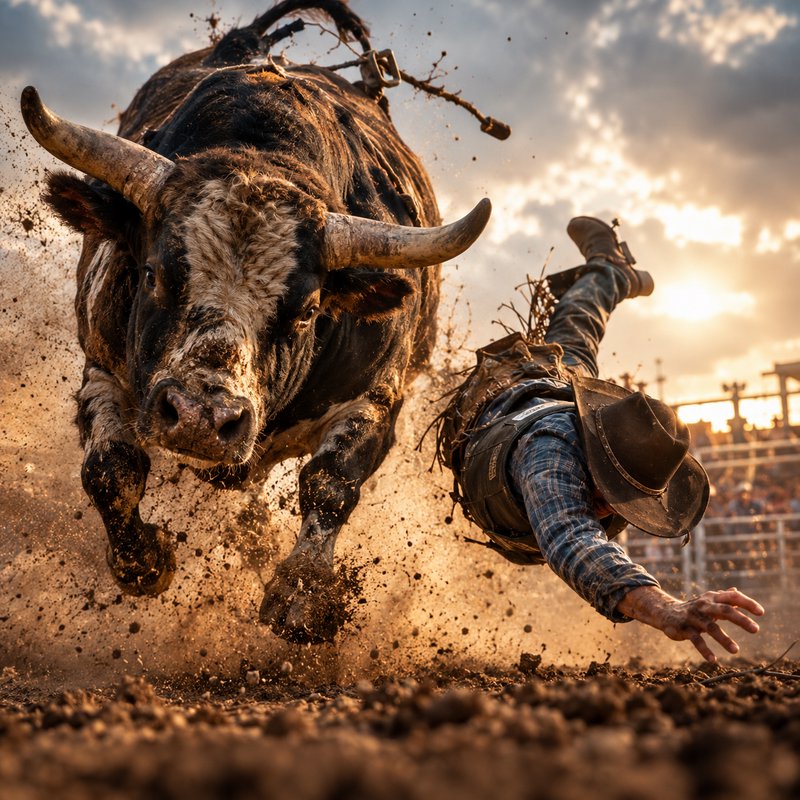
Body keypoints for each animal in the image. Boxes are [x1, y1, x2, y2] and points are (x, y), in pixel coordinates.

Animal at [20, 0, 490, 643]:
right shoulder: (101, 363)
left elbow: (329, 484)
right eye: (152, 273)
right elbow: (110, 467)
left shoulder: (377, 399)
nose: (201, 417)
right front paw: (144, 561)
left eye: (308, 311)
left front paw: (302, 596)